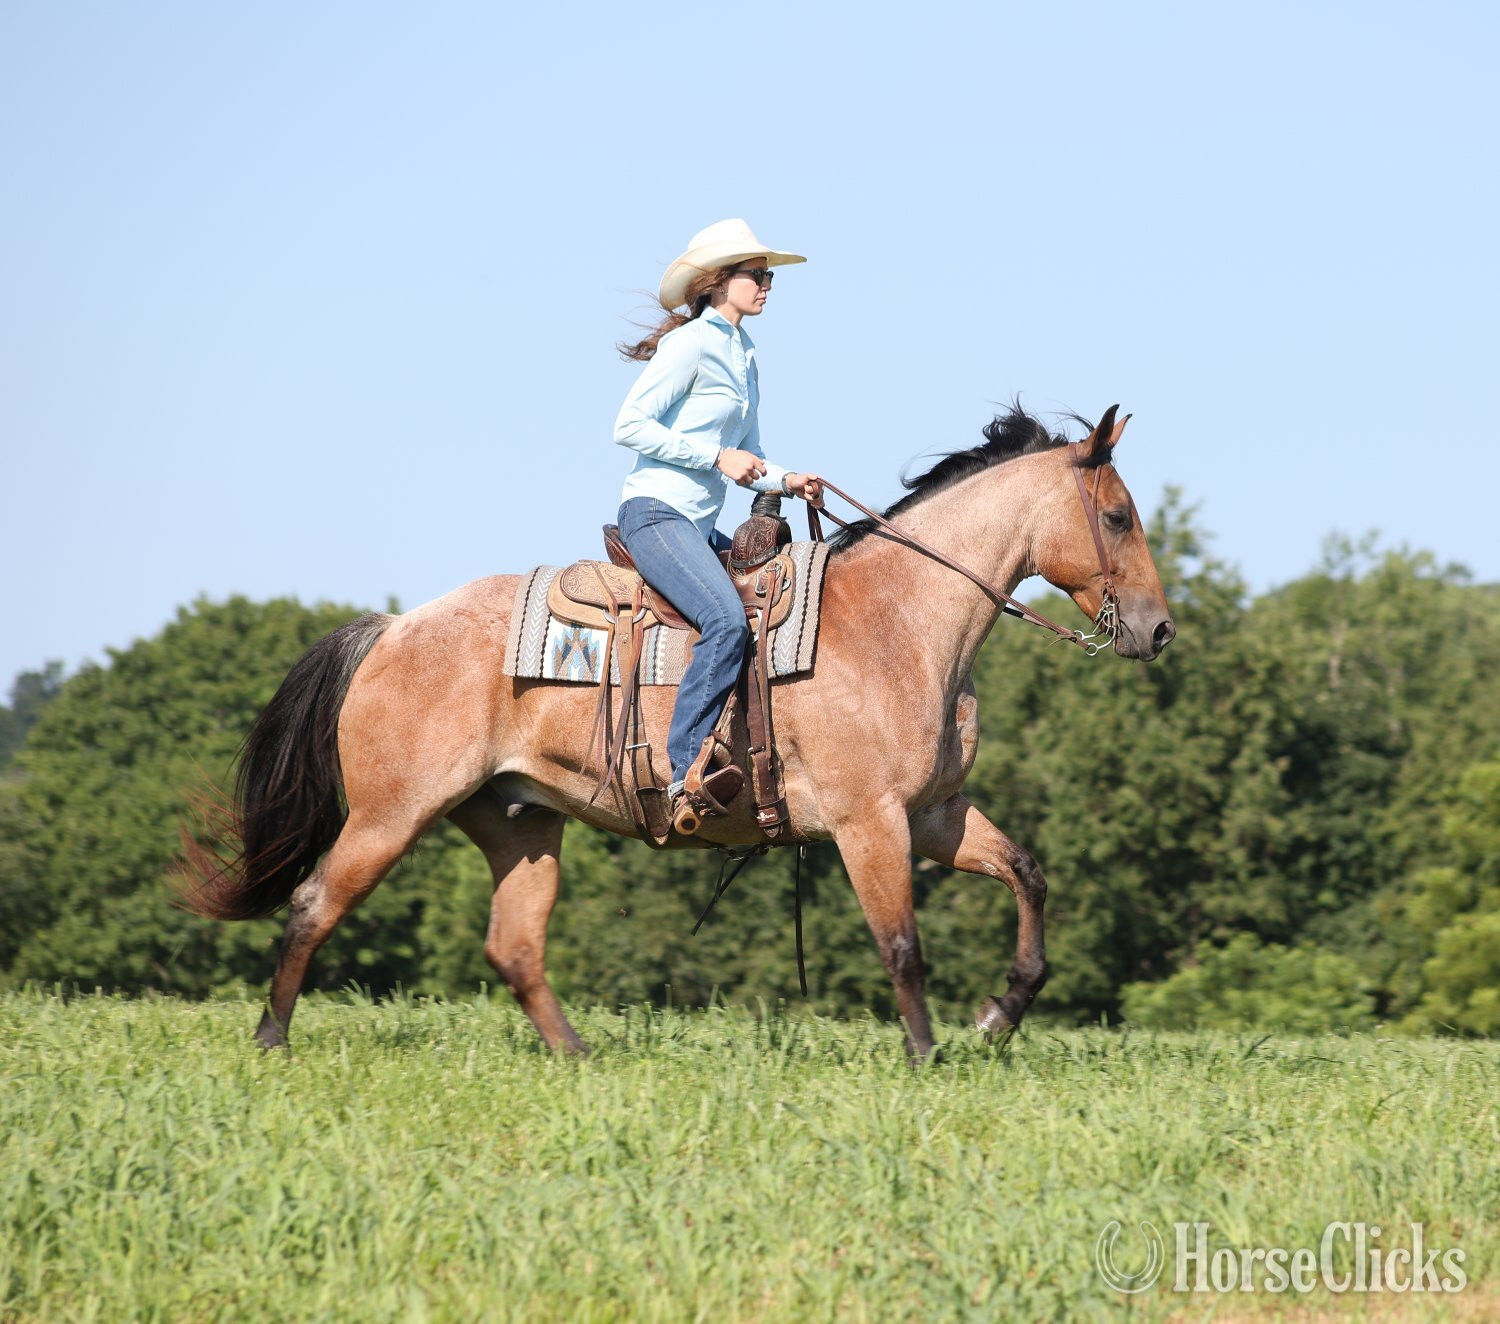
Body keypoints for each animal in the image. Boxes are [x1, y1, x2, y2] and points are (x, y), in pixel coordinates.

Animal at [180, 403, 1174, 1060]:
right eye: (1117, 515)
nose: (1159, 630)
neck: (903, 620)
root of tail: (390, 628)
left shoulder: (936, 814)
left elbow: (1028, 876)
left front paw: (1001, 1014)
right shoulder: (870, 820)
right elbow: (902, 945)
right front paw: (929, 1058)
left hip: (520, 822)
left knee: (514, 947)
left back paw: (581, 1058)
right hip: (392, 815)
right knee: (315, 904)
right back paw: (271, 1041)